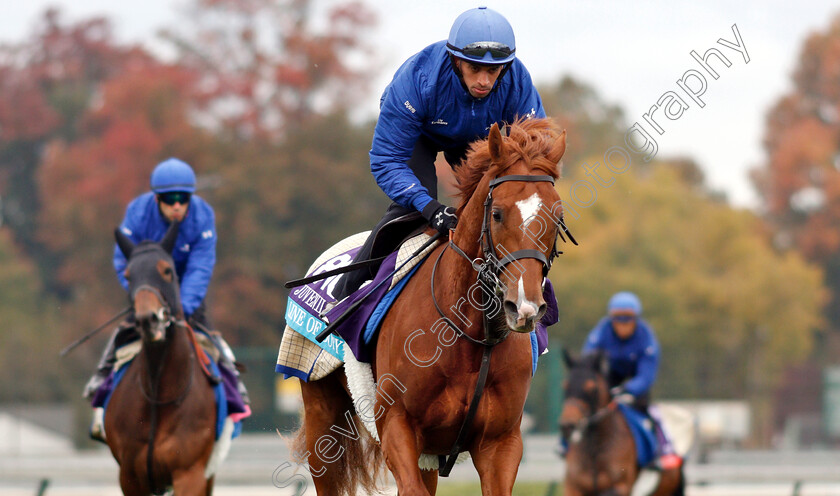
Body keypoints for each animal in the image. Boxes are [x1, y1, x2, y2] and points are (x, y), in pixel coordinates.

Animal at [105, 223, 218, 494]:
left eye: (167, 271)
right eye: (128, 276)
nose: (148, 319)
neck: (159, 395)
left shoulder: (190, 473)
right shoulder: (130, 476)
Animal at [296, 118, 572, 494]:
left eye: (557, 217)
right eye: (497, 214)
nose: (525, 306)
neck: (470, 337)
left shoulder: (500, 442)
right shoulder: (397, 425)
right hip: (321, 419)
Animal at [556, 350, 684, 494]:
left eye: (592, 388)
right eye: (565, 386)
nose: (567, 426)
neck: (594, 453)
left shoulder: (620, 485)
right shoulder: (572, 486)